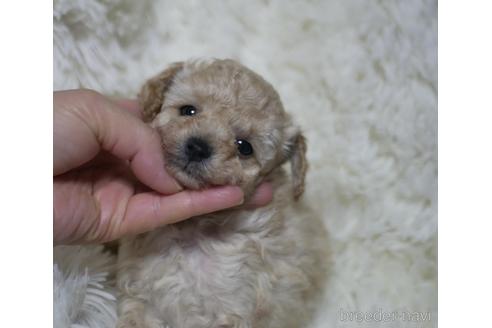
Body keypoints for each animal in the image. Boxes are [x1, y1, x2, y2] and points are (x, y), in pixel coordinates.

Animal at [117, 59, 328, 328]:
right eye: (188, 110)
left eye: (244, 147)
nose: (198, 147)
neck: (192, 226)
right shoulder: (140, 295)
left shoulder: (235, 307)